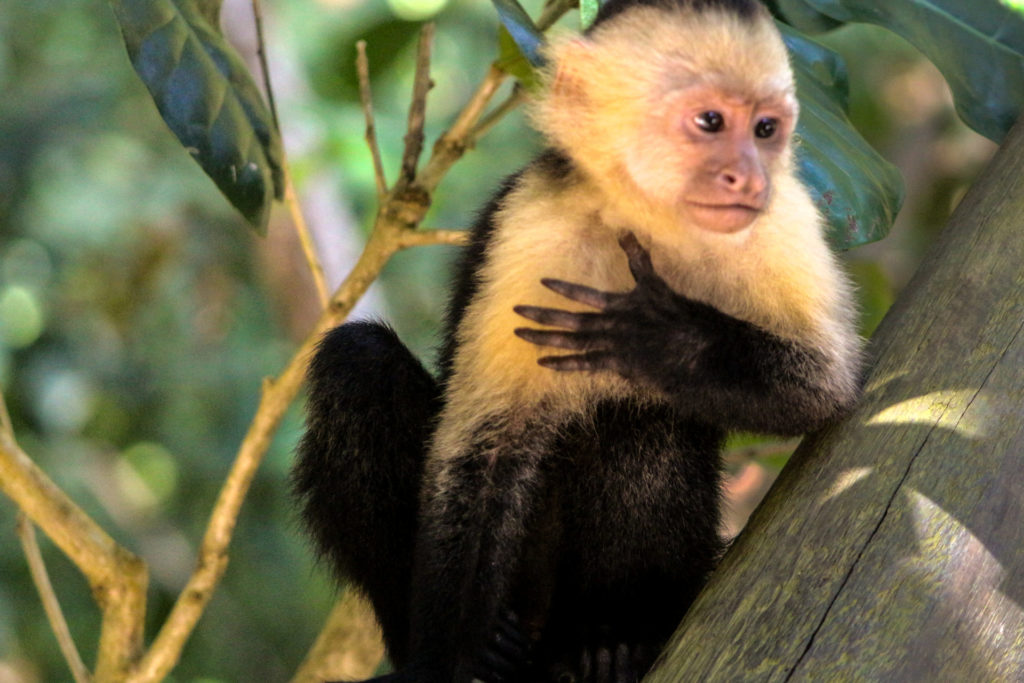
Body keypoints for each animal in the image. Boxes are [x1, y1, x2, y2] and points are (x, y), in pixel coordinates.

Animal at [292, 0, 860, 679]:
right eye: (711, 122)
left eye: (767, 129)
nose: (747, 176)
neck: (650, 217)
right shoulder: (532, 221)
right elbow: (484, 449)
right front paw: (456, 657)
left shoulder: (784, 219)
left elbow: (824, 390)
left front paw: (654, 336)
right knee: (359, 363)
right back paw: (491, 643)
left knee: (637, 414)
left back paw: (617, 635)